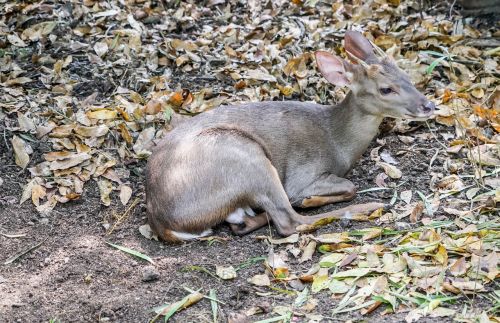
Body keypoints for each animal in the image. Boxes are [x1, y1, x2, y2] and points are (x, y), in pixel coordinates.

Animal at [145, 31, 434, 243]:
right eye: (386, 89)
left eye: (407, 76)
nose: (429, 105)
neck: (337, 142)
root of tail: (162, 222)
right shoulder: (302, 173)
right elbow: (348, 187)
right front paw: (311, 198)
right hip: (246, 157)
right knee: (289, 221)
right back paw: (368, 206)